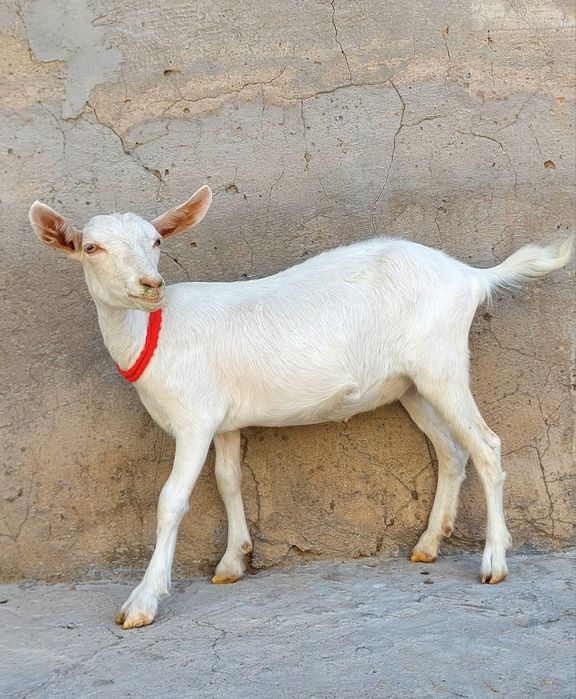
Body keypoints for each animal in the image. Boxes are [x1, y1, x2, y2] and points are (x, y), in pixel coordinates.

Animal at [30, 186, 574, 629]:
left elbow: (171, 500)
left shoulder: (195, 420)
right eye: (91, 247)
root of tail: (470, 276)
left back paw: (494, 562)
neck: (154, 333)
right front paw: (232, 562)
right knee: (451, 452)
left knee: (486, 446)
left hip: (442, 364)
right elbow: (228, 482)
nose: (149, 285)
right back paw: (428, 544)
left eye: (157, 241)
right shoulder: (224, 422)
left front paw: (143, 601)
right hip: (413, 384)